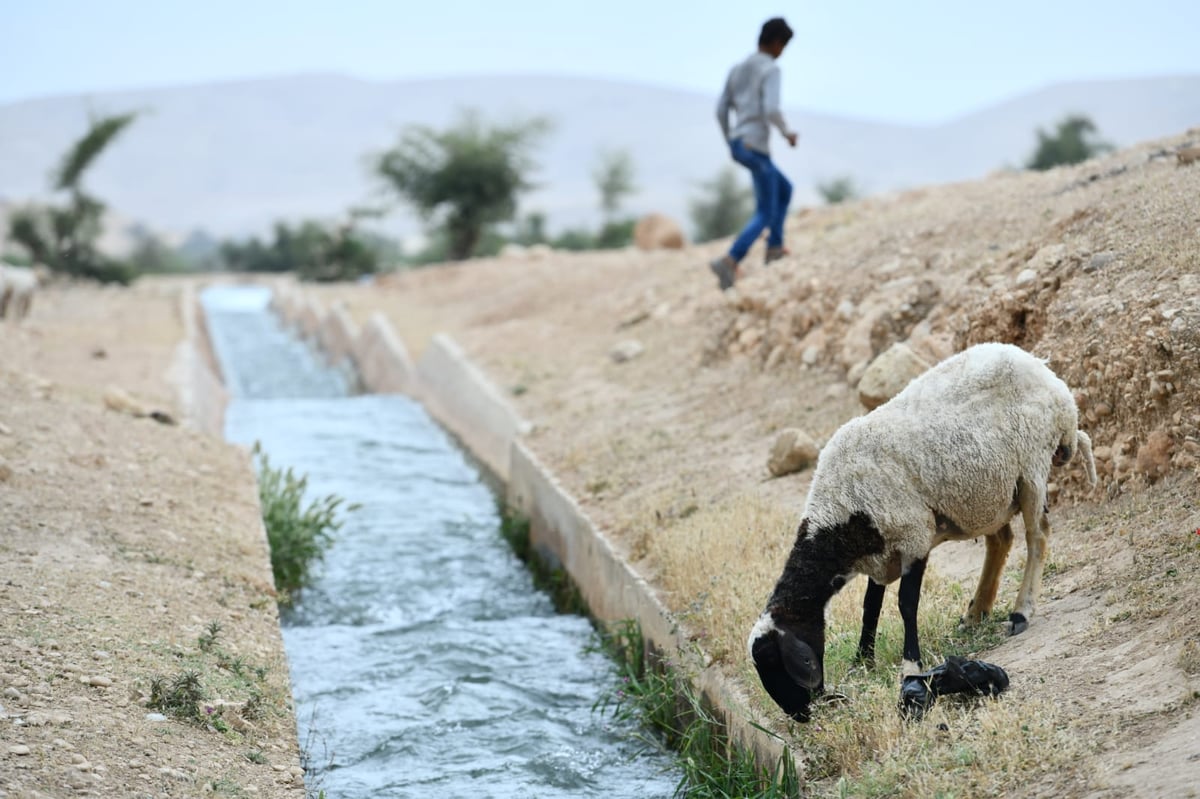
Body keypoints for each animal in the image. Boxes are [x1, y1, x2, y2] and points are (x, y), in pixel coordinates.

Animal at [748, 338, 1099, 719]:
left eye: (782, 665)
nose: (801, 717)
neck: (841, 517)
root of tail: (1039, 366)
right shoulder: (881, 551)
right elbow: (871, 606)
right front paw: (862, 661)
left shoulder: (912, 537)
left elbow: (906, 603)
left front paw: (910, 666)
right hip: (987, 492)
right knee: (1001, 540)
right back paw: (975, 613)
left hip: (1031, 466)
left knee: (1038, 536)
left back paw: (1021, 612)